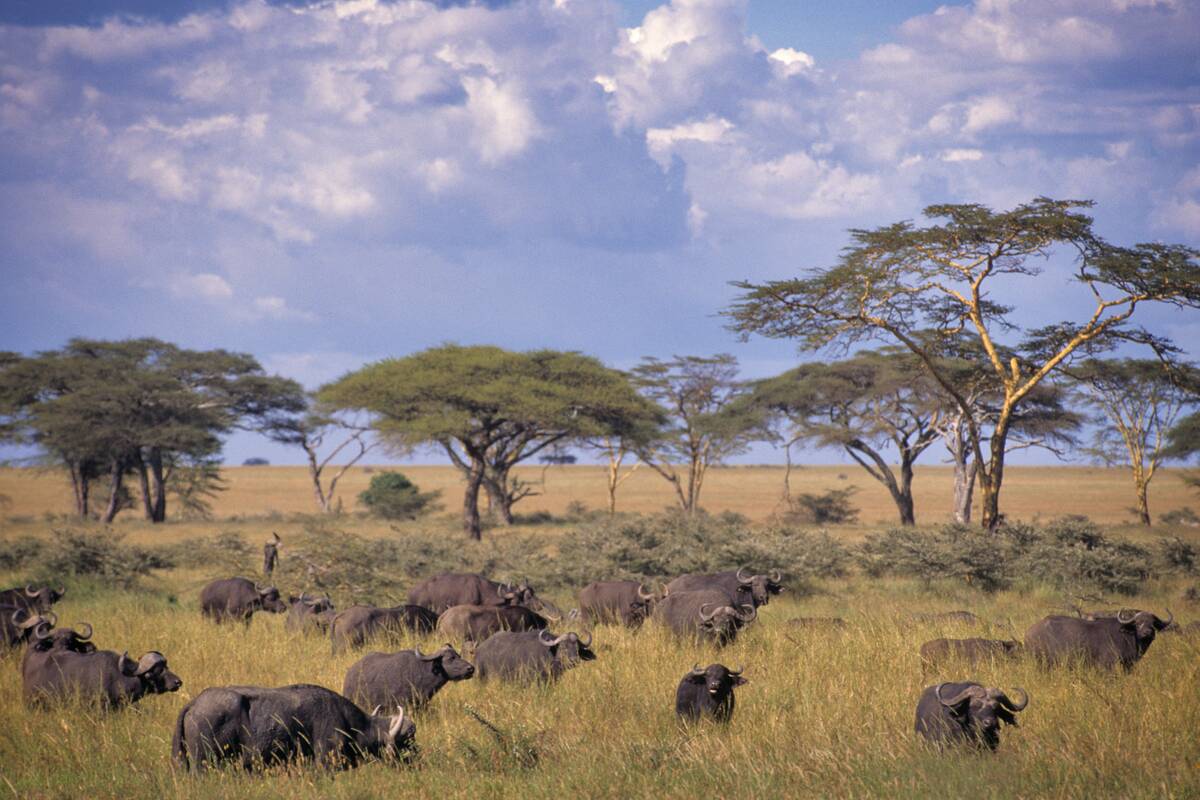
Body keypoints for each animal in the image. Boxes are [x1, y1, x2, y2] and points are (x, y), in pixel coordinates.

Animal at [1025, 609, 1173, 670]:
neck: (1127, 636)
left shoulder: (1128, 665)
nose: (1147, 632)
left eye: (1153, 623)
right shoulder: (1106, 666)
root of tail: (1028, 633)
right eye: (1137, 623)